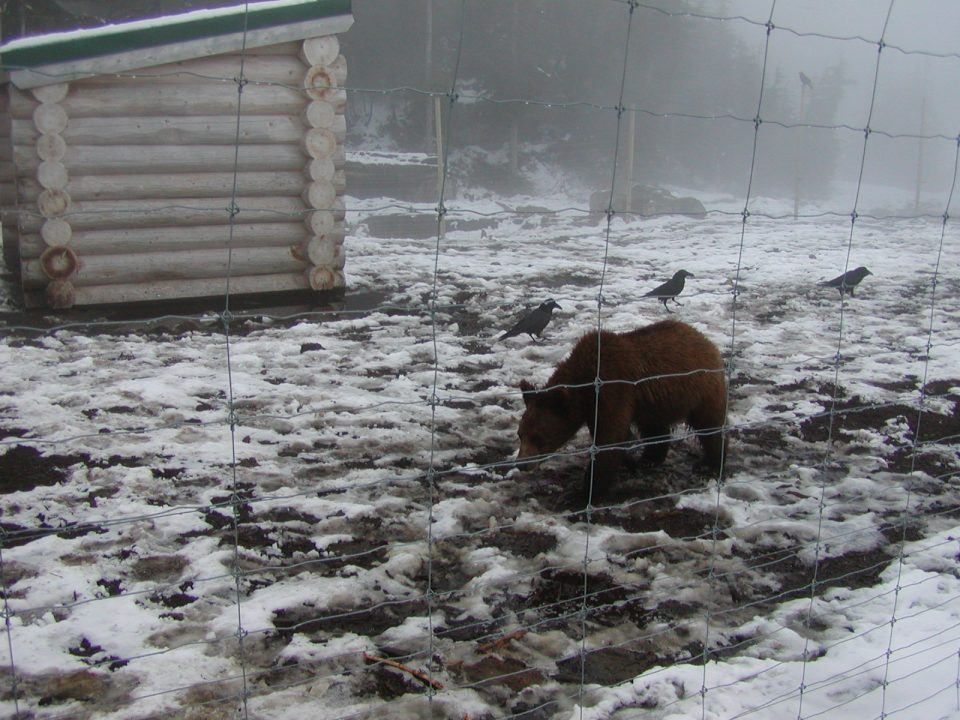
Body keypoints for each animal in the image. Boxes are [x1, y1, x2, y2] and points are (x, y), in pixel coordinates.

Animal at [516, 318, 728, 504]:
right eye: (520, 434)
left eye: (538, 436)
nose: (521, 464)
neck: (586, 386)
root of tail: (706, 340)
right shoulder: (597, 407)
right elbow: (611, 437)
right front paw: (630, 462)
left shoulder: (613, 390)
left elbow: (609, 440)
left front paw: (581, 495)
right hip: (655, 403)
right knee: (655, 428)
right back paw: (649, 459)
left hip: (701, 388)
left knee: (710, 426)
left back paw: (710, 465)